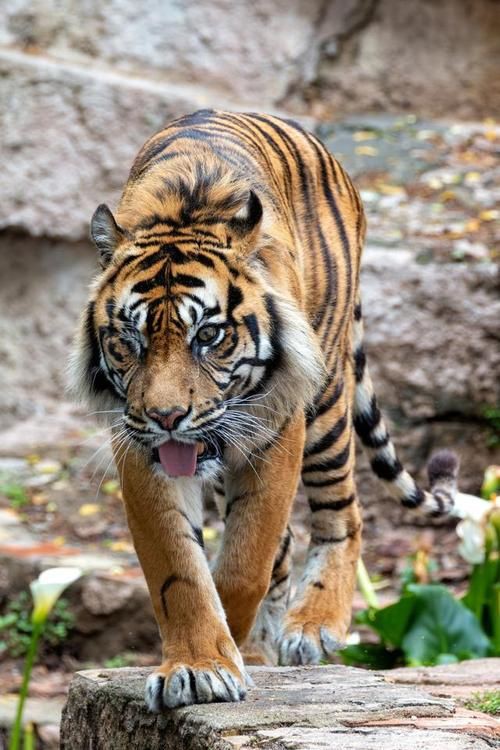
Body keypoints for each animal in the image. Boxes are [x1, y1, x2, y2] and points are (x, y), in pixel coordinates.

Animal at [70, 109, 458, 711]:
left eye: (208, 335)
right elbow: (179, 570)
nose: (165, 417)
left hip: (326, 401)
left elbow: (243, 563)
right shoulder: (138, 447)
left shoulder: (277, 429)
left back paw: (312, 625)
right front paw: (201, 664)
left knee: (343, 512)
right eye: (128, 341)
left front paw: (227, 648)